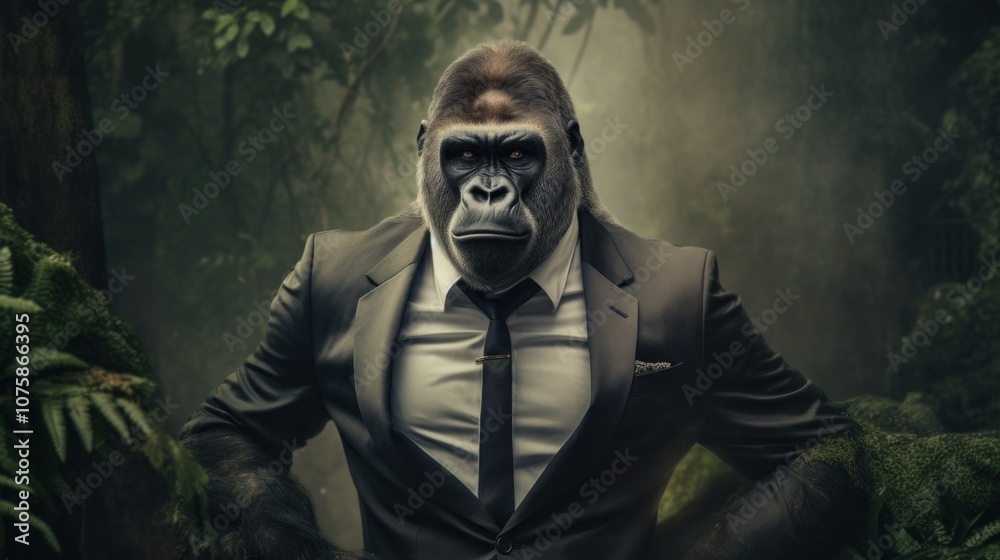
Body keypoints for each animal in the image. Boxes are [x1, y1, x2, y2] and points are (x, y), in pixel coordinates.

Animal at [180, 39, 863, 560]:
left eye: (515, 152)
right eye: (462, 154)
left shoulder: (711, 306)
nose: (487, 192)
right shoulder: (308, 288)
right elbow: (234, 430)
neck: (498, 297)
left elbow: (818, 446)